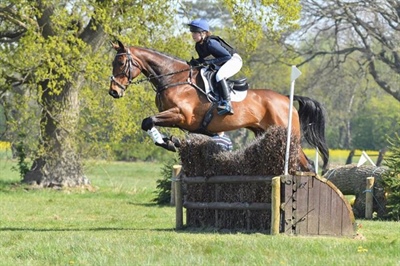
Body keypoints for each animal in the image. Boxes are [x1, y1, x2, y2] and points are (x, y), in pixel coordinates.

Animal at [108, 40, 328, 171]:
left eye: (121, 63)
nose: (114, 91)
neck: (174, 79)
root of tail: (286, 99)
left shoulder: (181, 115)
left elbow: (148, 121)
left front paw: (168, 142)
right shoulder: (176, 119)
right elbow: (150, 123)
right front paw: (171, 141)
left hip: (289, 134)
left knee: (306, 164)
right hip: (262, 131)